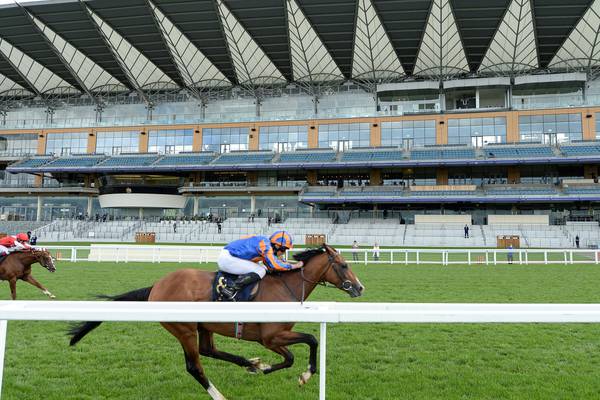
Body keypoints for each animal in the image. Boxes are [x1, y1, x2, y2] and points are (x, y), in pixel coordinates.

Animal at [68, 244, 364, 400]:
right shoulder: (270, 337)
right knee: (194, 365)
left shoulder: (270, 339)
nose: (360, 288)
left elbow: (293, 354)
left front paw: (264, 367)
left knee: (209, 350)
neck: (286, 286)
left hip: (203, 325)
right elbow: (309, 342)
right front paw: (304, 374)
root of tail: (156, 286)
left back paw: (250, 363)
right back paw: (220, 393)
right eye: (343, 265)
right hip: (184, 329)